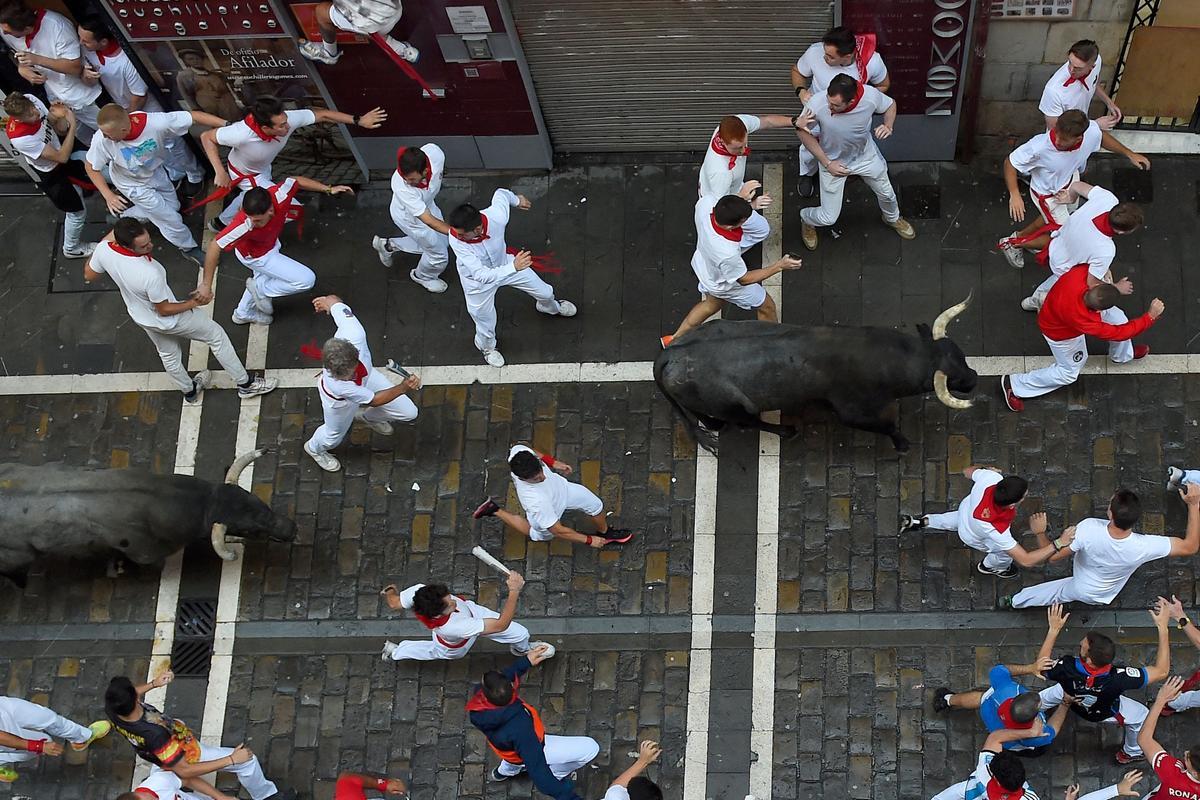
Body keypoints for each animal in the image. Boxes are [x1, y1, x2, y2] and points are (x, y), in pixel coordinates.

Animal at [652, 296, 979, 455]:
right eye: (951, 378)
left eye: (961, 354)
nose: (974, 377)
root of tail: (669, 354)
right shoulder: (851, 412)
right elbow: (886, 425)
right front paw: (902, 445)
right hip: (733, 406)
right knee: (745, 422)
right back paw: (786, 431)